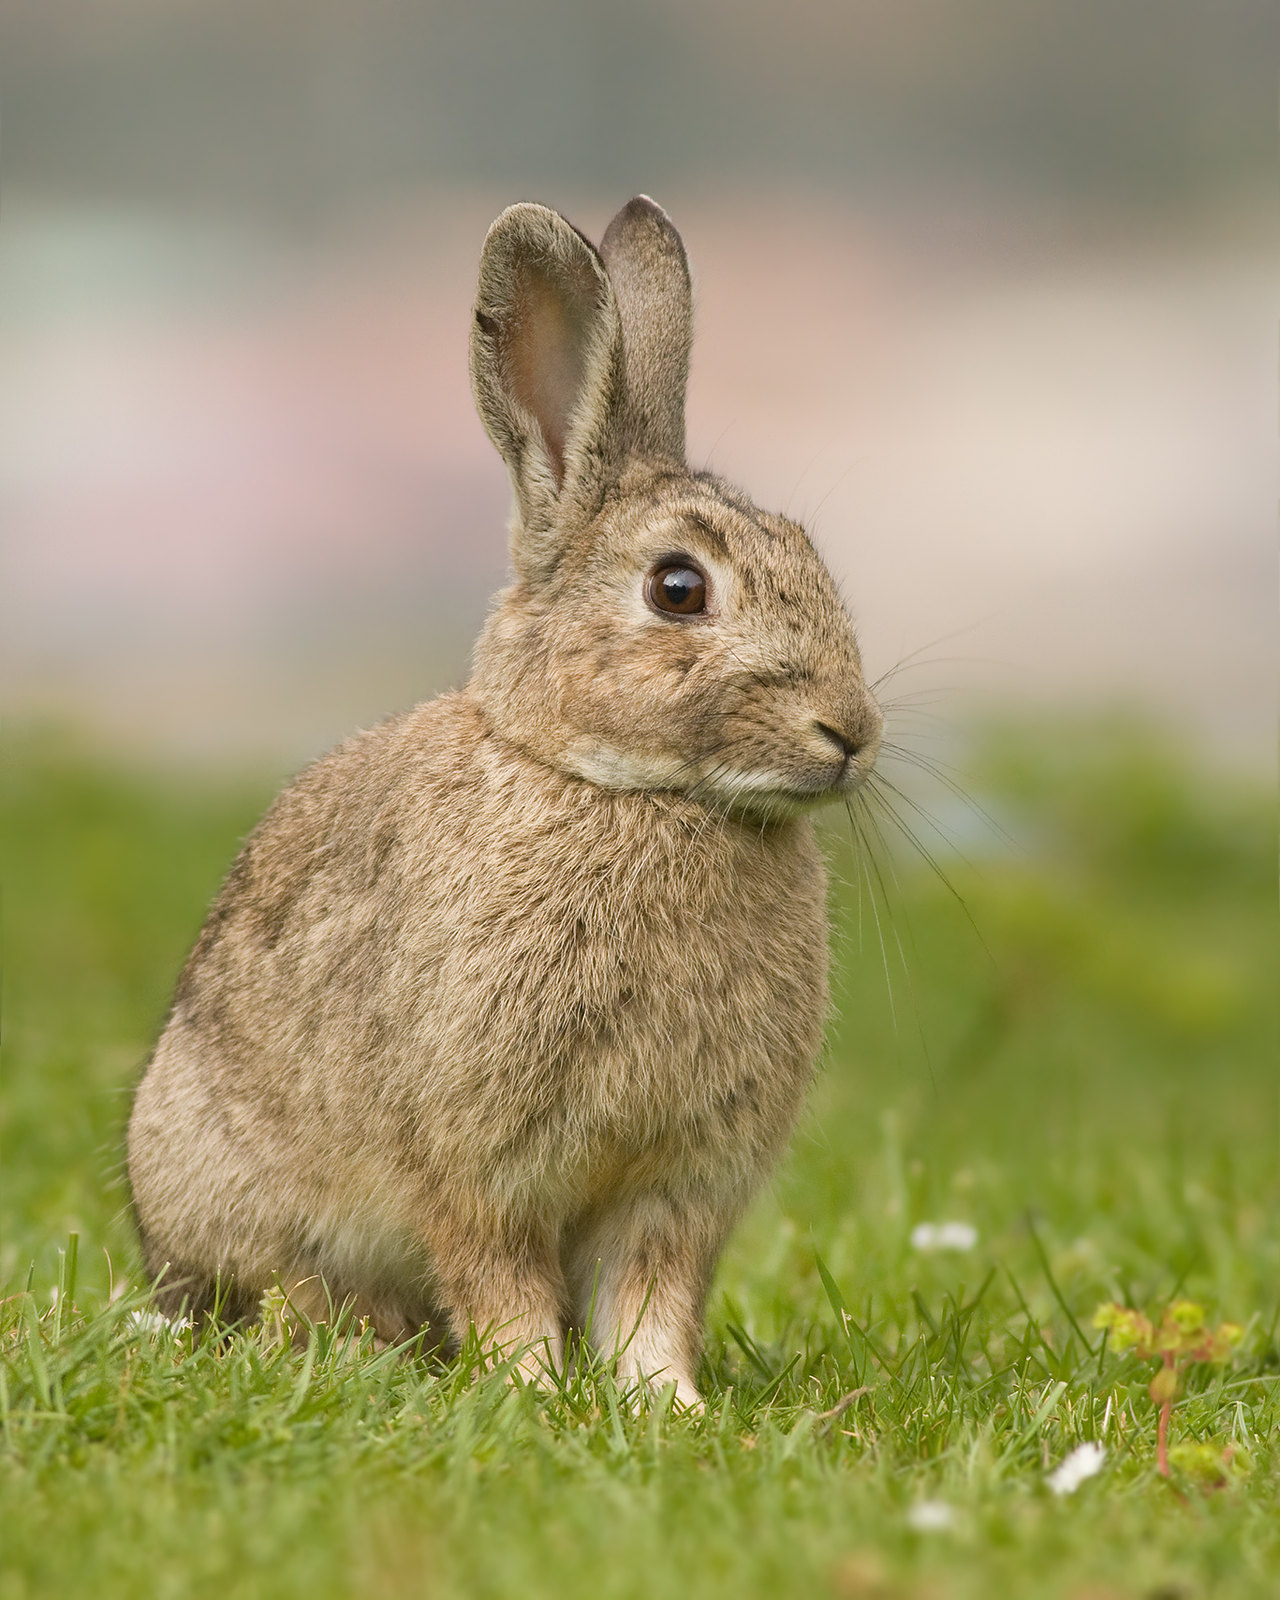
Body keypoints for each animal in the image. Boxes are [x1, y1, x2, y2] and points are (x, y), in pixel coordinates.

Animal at [127, 196, 883, 1407]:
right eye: (679, 588)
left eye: (809, 553)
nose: (849, 733)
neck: (628, 791)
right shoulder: (477, 1163)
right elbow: (499, 1279)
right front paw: (530, 1390)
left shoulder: (677, 1185)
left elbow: (651, 1297)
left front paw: (664, 1405)